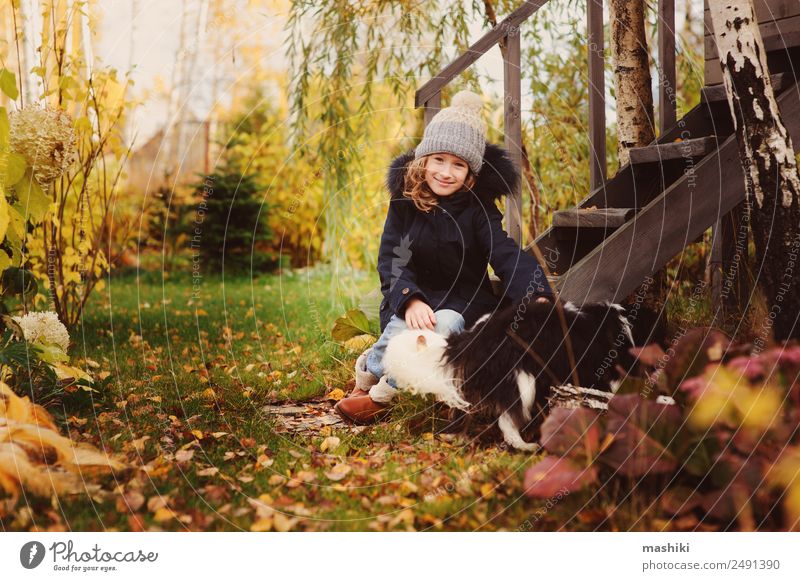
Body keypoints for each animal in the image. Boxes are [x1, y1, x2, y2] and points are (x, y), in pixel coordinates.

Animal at [384, 296, 640, 450]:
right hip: (521, 379)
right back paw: (525, 445)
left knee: (462, 411)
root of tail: (473, 339)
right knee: (507, 421)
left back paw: (454, 436)